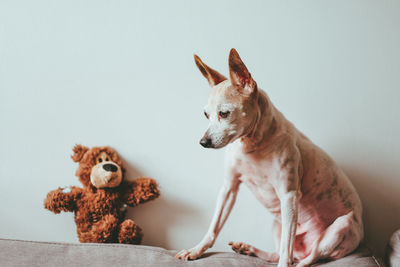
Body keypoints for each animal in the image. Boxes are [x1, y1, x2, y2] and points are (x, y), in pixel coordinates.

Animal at [175, 48, 362, 267]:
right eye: (206, 115)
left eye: (224, 113)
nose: (203, 142)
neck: (252, 145)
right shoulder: (229, 188)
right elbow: (213, 227)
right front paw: (196, 250)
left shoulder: (289, 196)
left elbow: (286, 252)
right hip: (277, 222)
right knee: (281, 253)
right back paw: (247, 249)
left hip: (338, 227)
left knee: (306, 257)